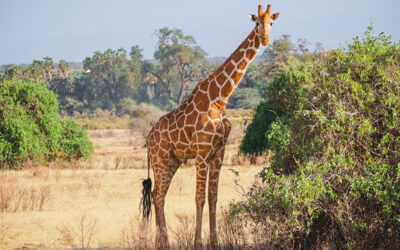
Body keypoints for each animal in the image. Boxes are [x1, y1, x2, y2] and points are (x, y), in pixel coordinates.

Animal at [142, 4, 280, 250]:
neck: (220, 99)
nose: (264, 39)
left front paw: (215, 242)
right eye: (256, 23)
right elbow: (200, 197)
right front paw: (198, 242)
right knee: (158, 196)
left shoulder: (219, 152)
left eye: (271, 23)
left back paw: (160, 242)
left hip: (173, 160)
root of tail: (148, 138)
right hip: (160, 159)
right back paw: (164, 242)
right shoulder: (202, 151)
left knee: (159, 194)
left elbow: (214, 197)